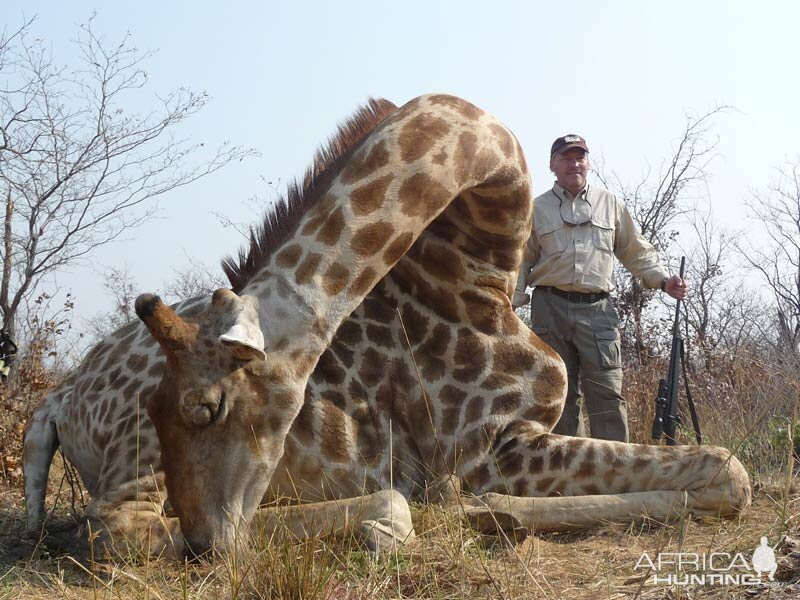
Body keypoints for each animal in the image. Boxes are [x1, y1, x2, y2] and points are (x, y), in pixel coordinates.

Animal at [126, 94, 752, 556]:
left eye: (205, 408)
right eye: (171, 409)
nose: (202, 546)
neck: (478, 269)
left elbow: (725, 469)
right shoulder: (487, 447)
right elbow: (725, 465)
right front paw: (486, 510)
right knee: (131, 532)